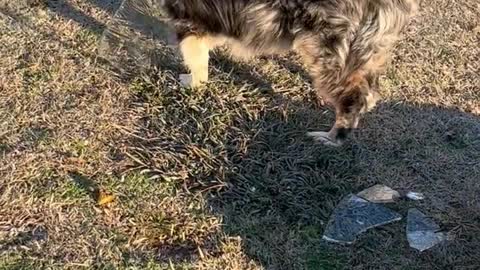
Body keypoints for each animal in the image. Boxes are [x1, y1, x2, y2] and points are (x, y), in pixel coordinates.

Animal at [157, 0, 416, 146]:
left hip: (329, 54)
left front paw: (193, 85)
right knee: (370, 91)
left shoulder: (191, 19)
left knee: (353, 98)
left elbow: (195, 56)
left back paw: (331, 138)